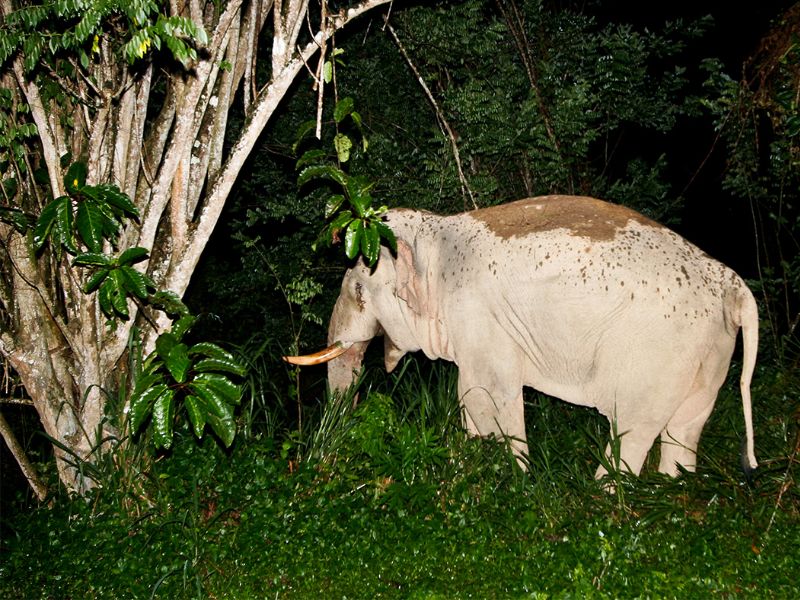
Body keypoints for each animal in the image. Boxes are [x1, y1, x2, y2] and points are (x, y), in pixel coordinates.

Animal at [286, 197, 756, 478]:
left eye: (358, 290)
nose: (322, 457)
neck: (434, 234)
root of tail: (733, 285)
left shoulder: (478, 317)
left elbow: (482, 393)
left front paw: (511, 478)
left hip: (658, 349)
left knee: (632, 427)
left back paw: (603, 498)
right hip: (709, 347)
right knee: (686, 426)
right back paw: (671, 489)